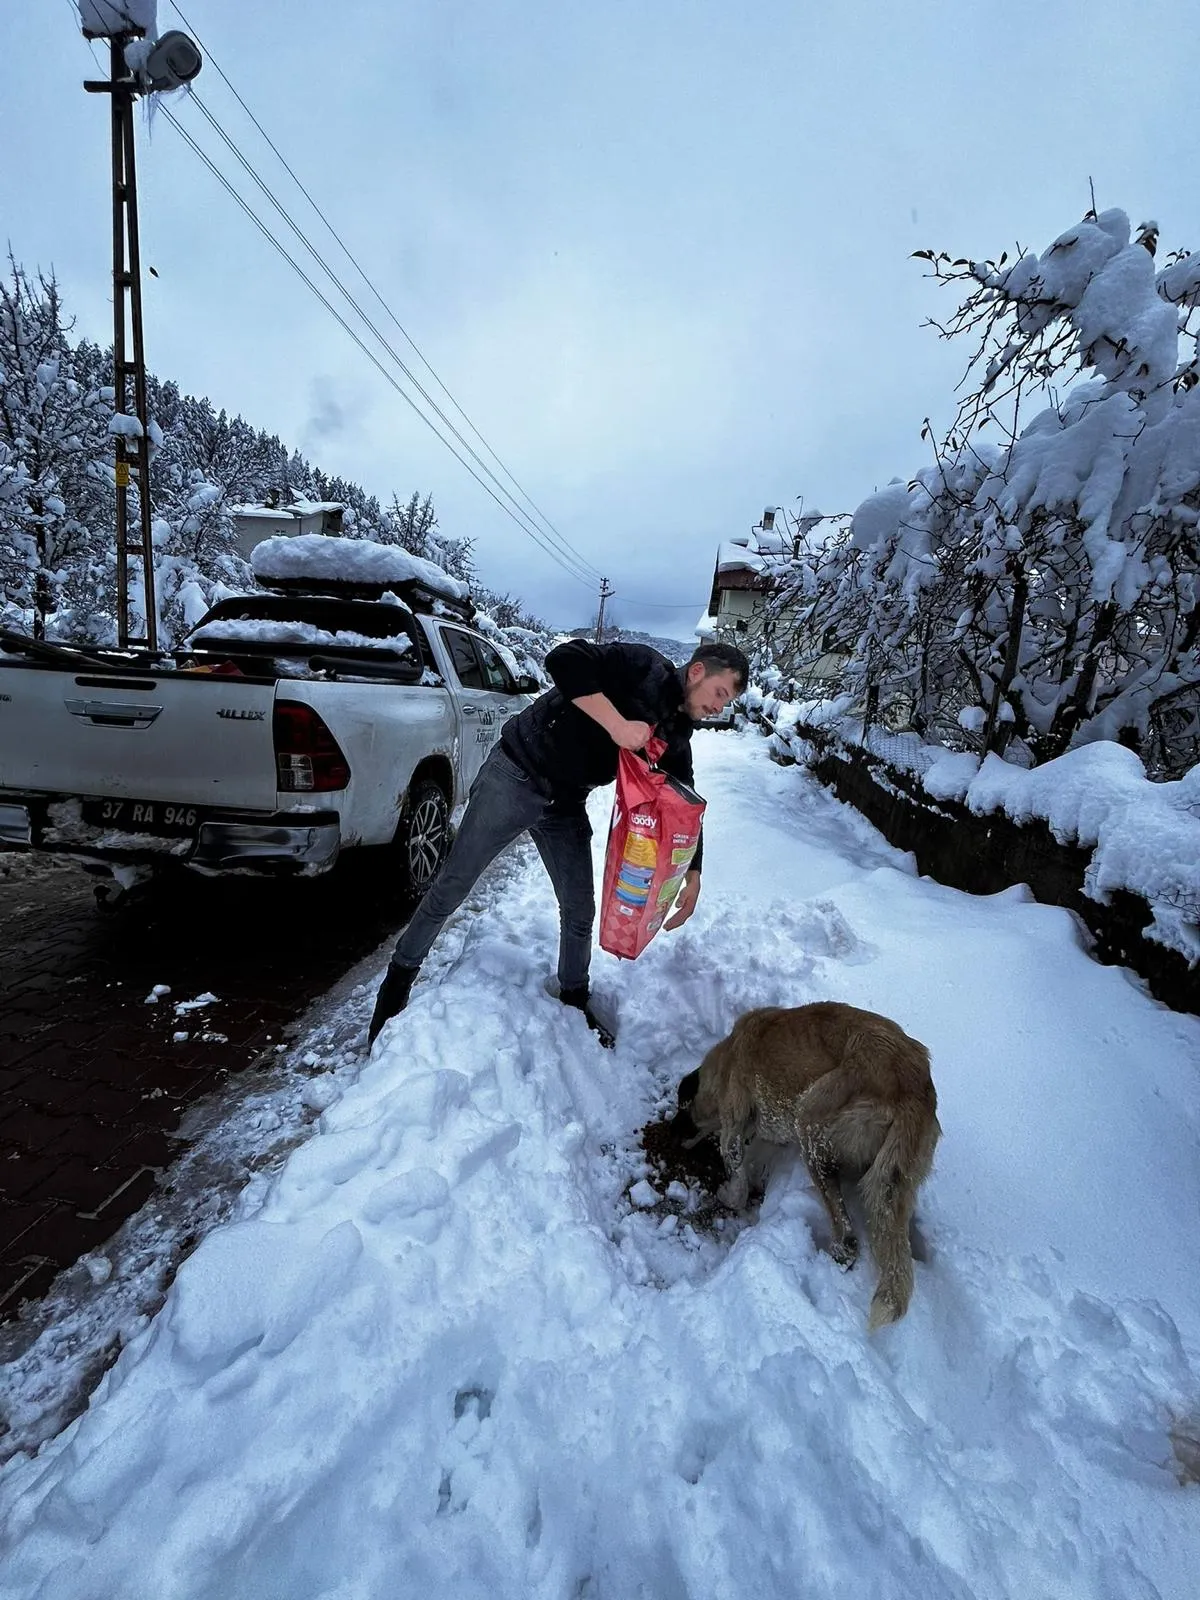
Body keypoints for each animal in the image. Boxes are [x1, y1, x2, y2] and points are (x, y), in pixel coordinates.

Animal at [681, 998, 947, 1324]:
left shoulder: (734, 1121)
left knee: (848, 1239)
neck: (730, 1053)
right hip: (892, 1178)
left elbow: (737, 1174)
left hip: (809, 1119)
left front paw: (729, 1195)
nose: (681, 1136)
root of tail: (912, 1090)